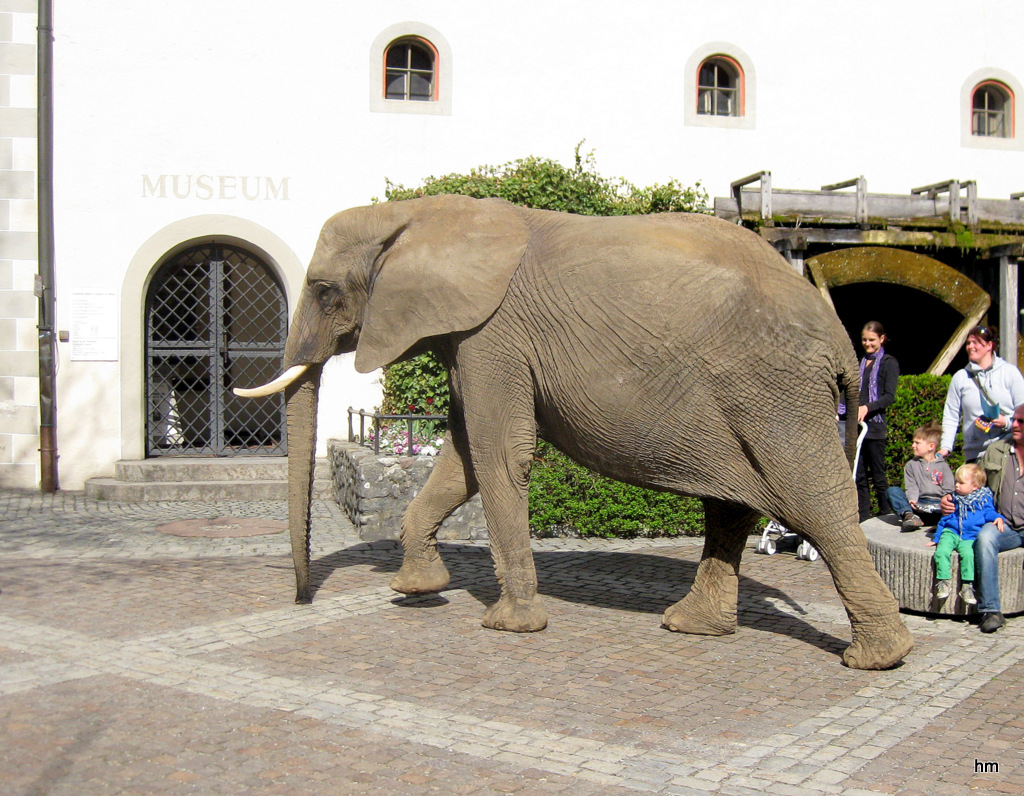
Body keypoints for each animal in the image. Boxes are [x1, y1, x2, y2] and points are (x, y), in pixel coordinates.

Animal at [237, 193, 913, 672]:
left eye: (324, 290)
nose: (301, 600)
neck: (418, 214)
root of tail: (841, 342)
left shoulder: (494, 334)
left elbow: (497, 454)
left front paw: (509, 626)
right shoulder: (472, 337)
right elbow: (461, 460)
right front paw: (416, 589)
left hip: (776, 394)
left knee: (816, 506)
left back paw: (878, 658)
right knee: (732, 507)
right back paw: (691, 626)